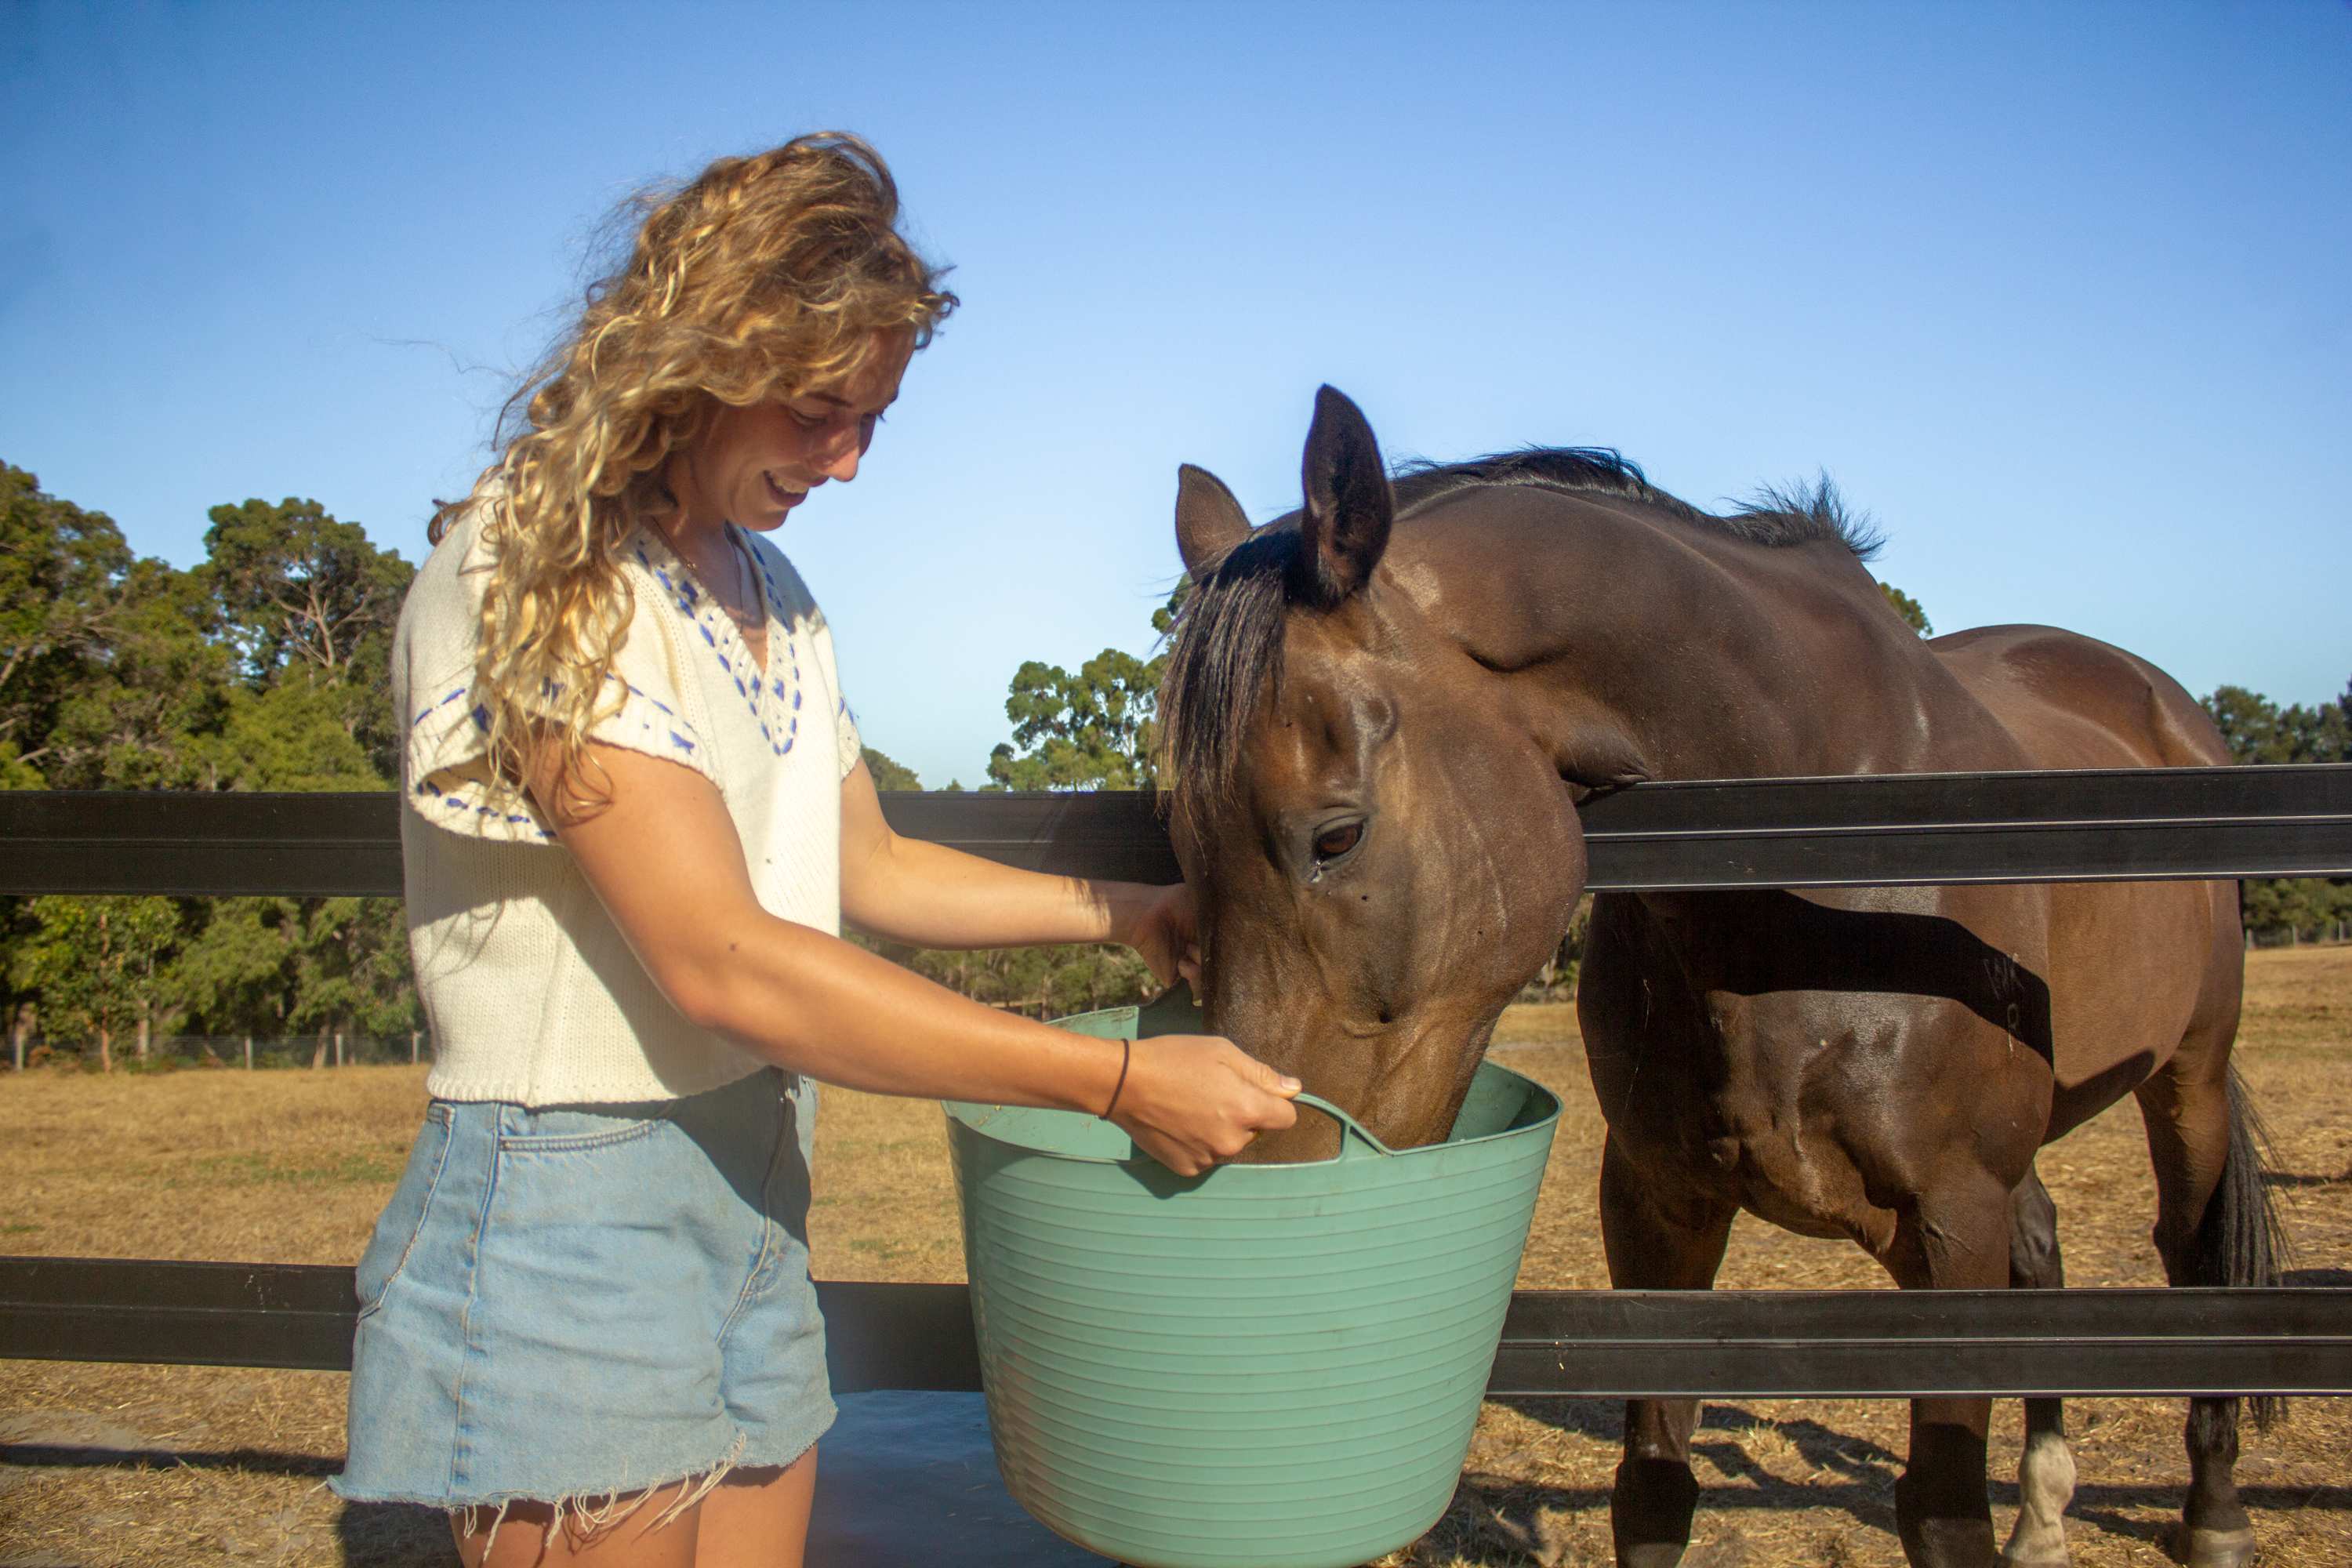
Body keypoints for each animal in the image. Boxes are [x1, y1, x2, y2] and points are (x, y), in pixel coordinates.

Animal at [1157, 387, 2284, 1568]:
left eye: (1336, 836)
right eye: (1176, 839)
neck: (1808, 866)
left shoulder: (1952, 1219)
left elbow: (1939, 1510)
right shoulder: (1658, 1205)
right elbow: (1652, 1490)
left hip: (2188, 1077)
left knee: (2196, 1259)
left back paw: (2214, 1514)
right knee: (2047, 1248)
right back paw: (2047, 1512)